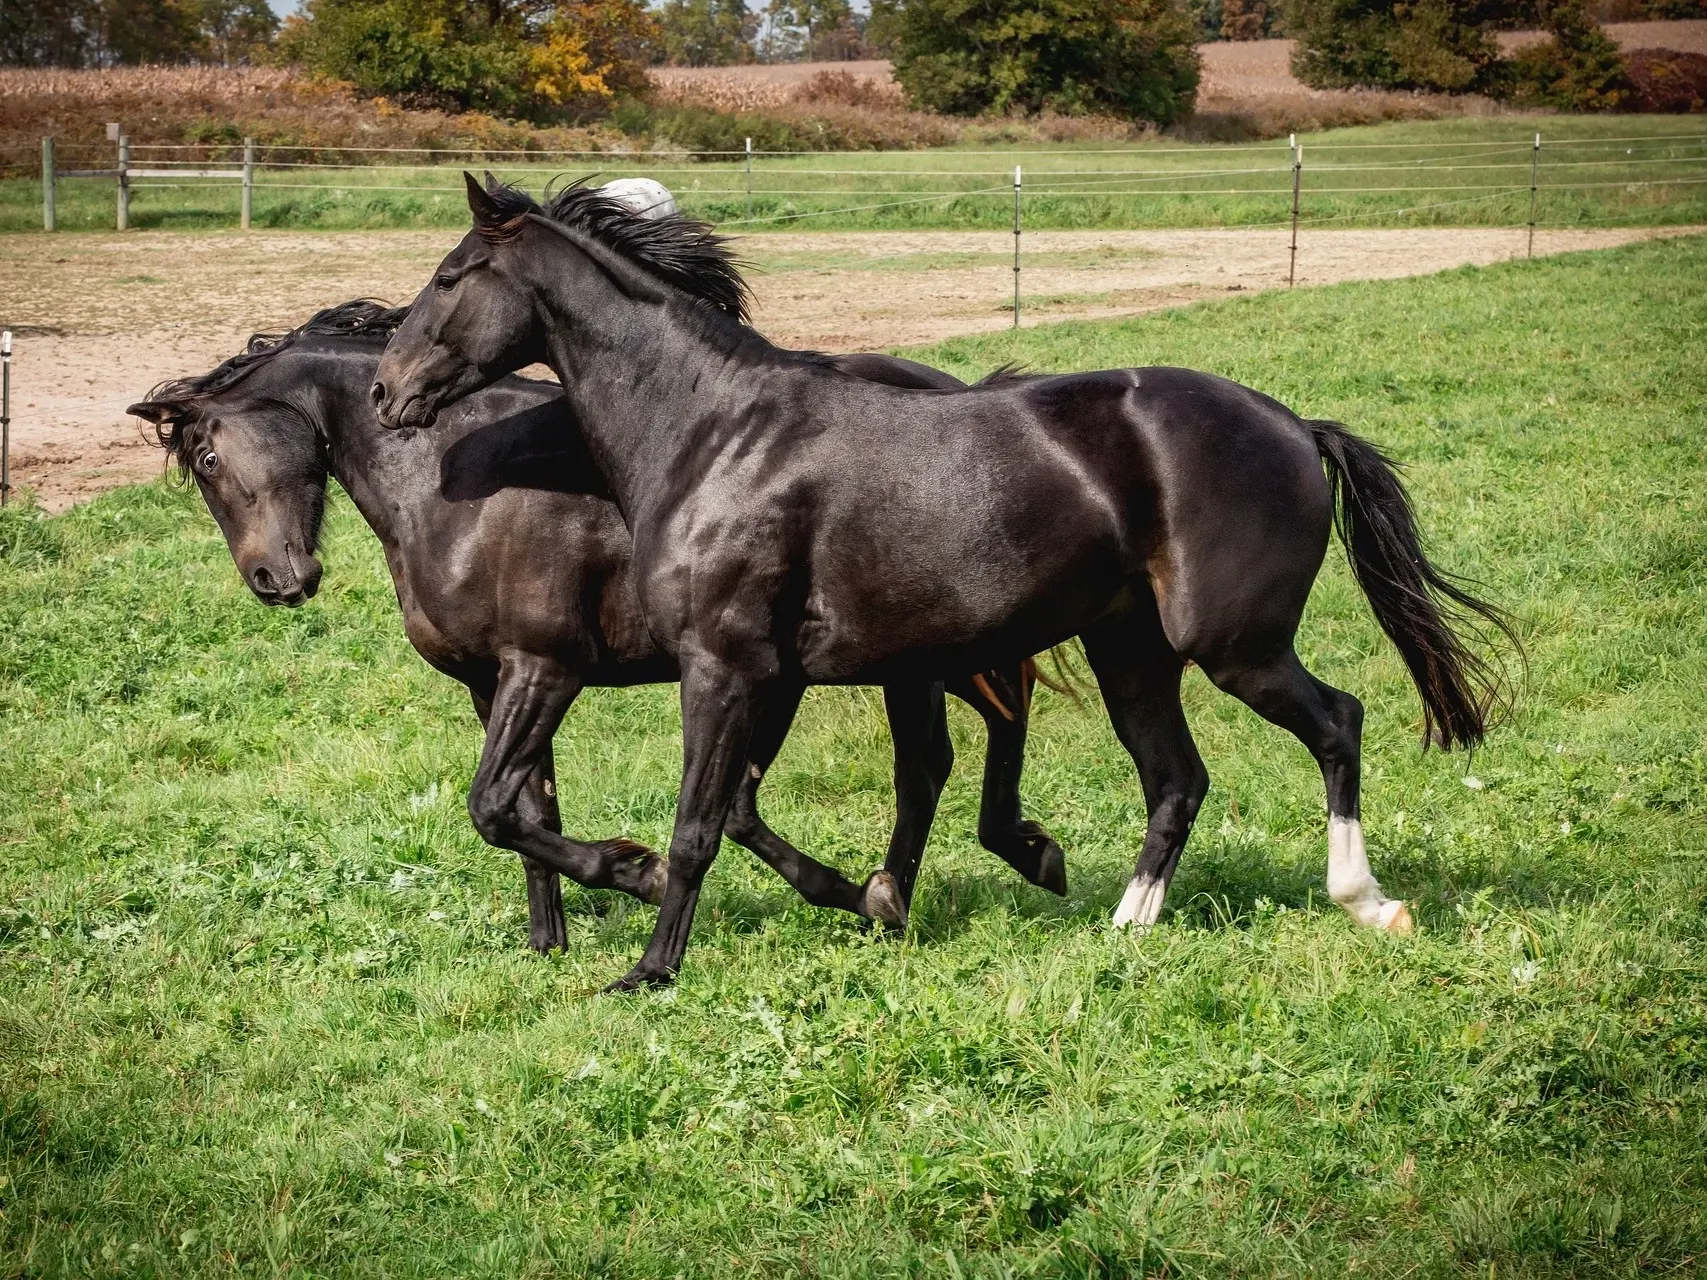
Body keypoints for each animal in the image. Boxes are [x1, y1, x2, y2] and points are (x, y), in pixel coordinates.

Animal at [129, 303, 1065, 955]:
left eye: (207, 459)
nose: (274, 581)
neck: (457, 481)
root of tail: (961, 394)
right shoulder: (493, 683)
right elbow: (525, 809)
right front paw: (549, 943)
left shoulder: (545, 668)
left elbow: (492, 806)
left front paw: (635, 873)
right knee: (945, 749)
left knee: (949, 749)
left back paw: (959, 872)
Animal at [377, 175, 1522, 989]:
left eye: (451, 275)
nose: (388, 390)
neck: (712, 432)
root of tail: (1293, 424)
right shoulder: (775, 672)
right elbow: (739, 811)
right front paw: (868, 898)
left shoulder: (724, 665)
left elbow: (696, 825)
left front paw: (650, 965)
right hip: (1131, 652)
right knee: (1176, 779)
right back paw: (1122, 926)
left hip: (1232, 644)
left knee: (1337, 722)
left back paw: (1367, 900)